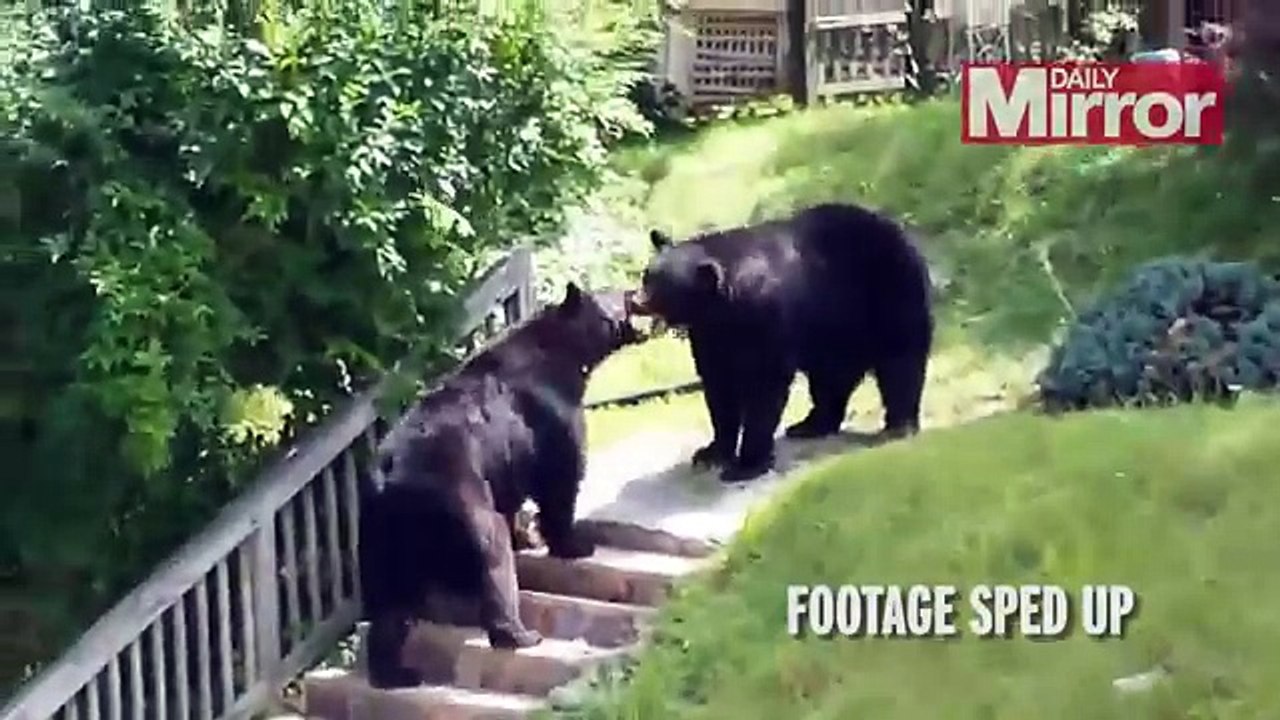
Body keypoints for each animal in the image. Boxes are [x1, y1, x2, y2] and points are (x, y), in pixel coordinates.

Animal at [358, 283, 641, 689]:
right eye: (615, 294)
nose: (634, 288)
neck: (566, 350)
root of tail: (392, 478)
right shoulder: (550, 417)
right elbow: (561, 479)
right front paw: (574, 544)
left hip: (382, 538)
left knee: (388, 603)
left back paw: (396, 673)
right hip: (461, 495)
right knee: (493, 555)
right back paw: (519, 634)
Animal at [627, 202, 933, 483]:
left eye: (661, 287)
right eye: (647, 275)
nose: (636, 301)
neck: (725, 308)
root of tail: (902, 234)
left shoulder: (766, 318)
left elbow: (765, 385)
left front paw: (746, 464)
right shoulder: (711, 334)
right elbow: (719, 385)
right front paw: (711, 453)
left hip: (888, 297)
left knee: (900, 363)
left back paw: (899, 425)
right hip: (833, 333)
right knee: (831, 380)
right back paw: (810, 425)